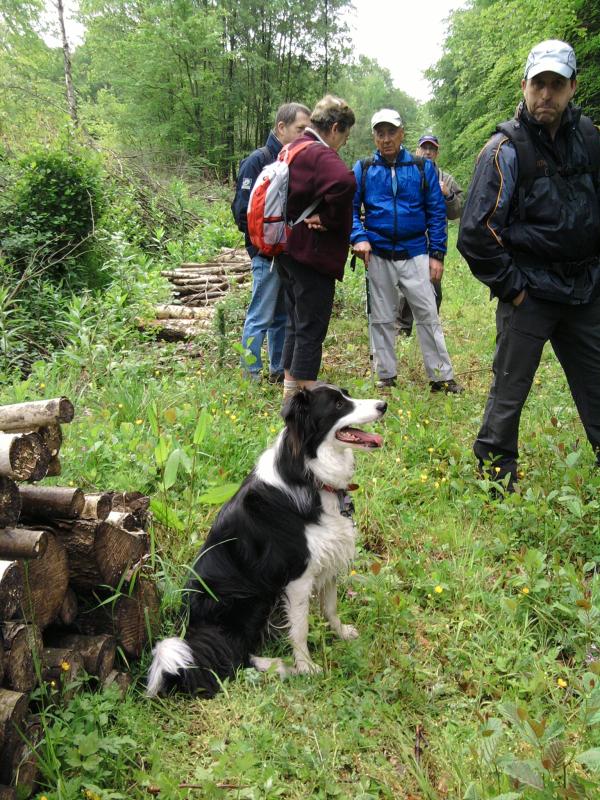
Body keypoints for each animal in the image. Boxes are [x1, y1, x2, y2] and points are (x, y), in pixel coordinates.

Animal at [148, 384, 386, 696]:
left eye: (346, 394)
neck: (309, 474)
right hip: (251, 597)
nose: (383, 405)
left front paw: (342, 633)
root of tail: (192, 628)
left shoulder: (328, 558)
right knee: (236, 656)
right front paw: (307, 667)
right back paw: (278, 666)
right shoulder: (297, 576)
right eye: (337, 404)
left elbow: (330, 607)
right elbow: (300, 628)